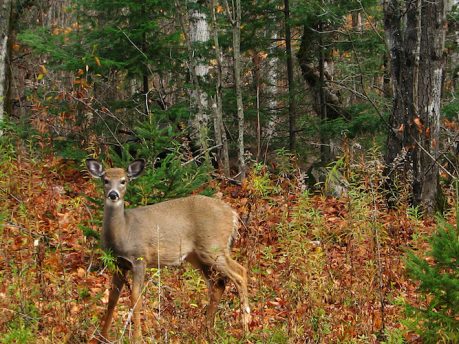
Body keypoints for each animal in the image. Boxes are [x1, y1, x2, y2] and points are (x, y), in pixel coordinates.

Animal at [86, 160, 252, 342]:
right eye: (105, 180)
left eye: (123, 181)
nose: (113, 194)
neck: (124, 231)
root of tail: (233, 214)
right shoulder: (119, 263)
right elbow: (112, 298)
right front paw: (102, 337)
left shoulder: (140, 259)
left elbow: (136, 297)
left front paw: (137, 338)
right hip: (198, 256)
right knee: (218, 285)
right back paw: (208, 332)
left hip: (213, 247)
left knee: (240, 273)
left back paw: (245, 328)